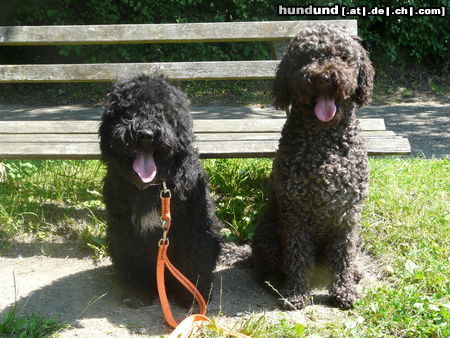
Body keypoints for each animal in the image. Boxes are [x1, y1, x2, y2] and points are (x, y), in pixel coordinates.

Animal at [100, 75, 223, 308]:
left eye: (163, 112)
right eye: (129, 111)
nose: (145, 134)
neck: (154, 187)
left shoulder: (194, 228)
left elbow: (193, 260)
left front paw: (192, 295)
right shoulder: (125, 231)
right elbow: (132, 260)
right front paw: (137, 293)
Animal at [251, 24, 374, 308]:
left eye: (342, 56)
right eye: (305, 58)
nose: (324, 77)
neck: (323, 142)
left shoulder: (347, 213)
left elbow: (343, 256)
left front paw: (344, 290)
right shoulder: (295, 211)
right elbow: (298, 256)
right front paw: (296, 292)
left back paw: (355, 273)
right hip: (267, 232)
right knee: (267, 267)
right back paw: (276, 282)